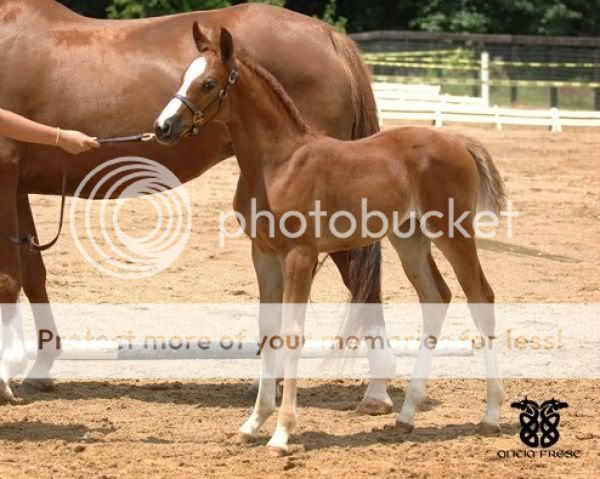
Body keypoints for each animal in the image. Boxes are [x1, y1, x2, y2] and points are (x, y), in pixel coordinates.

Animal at [157, 25, 508, 454]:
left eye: (208, 83)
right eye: (183, 76)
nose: (164, 126)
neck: (278, 162)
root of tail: (460, 142)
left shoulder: (300, 255)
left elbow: (292, 333)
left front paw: (282, 433)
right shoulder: (264, 254)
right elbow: (267, 331)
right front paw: (252, 424)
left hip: (453, 232)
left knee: (481, 297)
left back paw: (490, 416)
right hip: (409, 237)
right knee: (436, 297)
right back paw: (406, 416)